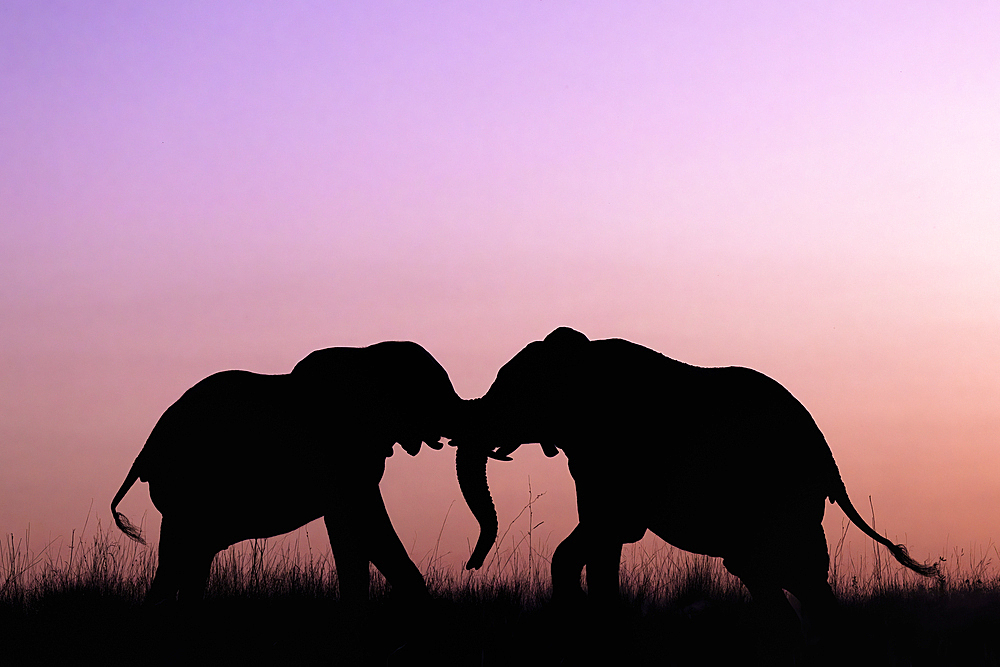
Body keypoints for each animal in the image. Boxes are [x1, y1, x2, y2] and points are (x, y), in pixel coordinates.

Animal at [111, 342, 462, 608]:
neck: (369, 354)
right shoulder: (340, 456)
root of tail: (145, 452)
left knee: (190, 557)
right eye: (432, 391)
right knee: (179, 556)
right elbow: (362, 524)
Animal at [458, 332, 940, 628]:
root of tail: (829, 460)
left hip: (781, 496)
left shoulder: (616, 451)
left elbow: (606, 531)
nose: (471, 566)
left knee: (785, 571)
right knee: (777, 576)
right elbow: (598, 539)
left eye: (512, 390)